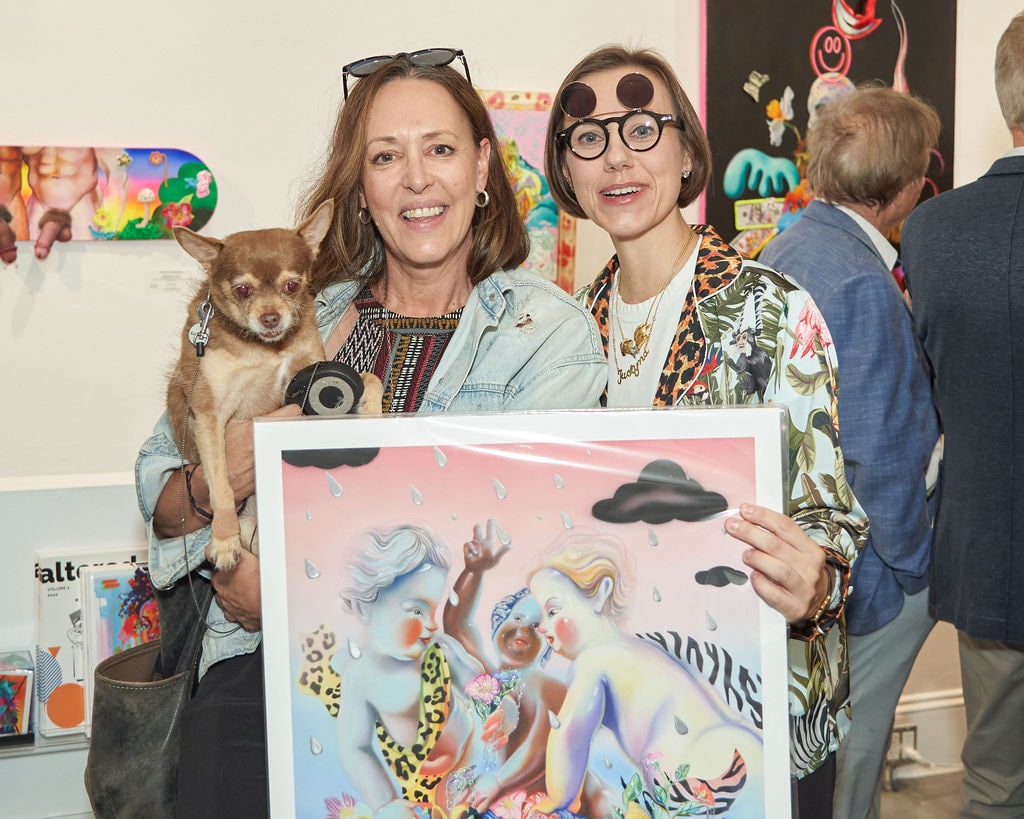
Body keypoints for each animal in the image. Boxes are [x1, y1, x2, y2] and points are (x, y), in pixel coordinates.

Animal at [165, 199, 329, 569]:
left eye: (292, 285)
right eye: (242, 290)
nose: (270, 318)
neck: (265, 348)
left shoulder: (307, 372)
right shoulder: (210, 416)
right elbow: (221, 484)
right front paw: (223, 540)